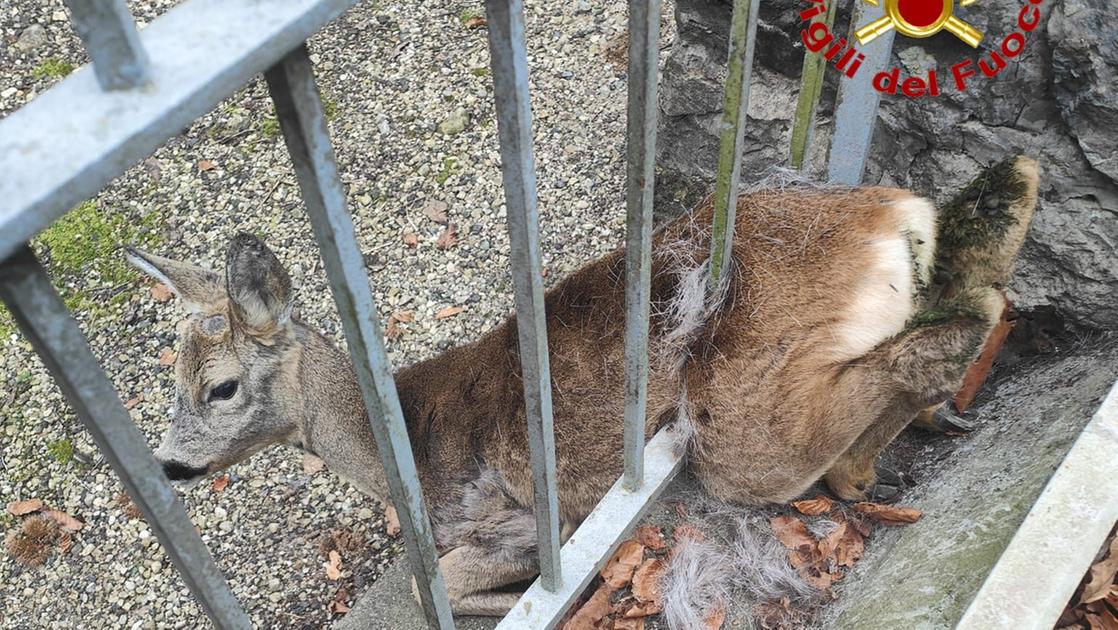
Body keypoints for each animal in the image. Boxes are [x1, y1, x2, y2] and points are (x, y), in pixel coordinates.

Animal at [122, 156, 1037, 616]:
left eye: (220, 388)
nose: (168, 465)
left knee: (939, 338)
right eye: (170, 380)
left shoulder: (519, 515)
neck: (401, 450)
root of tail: (890, 216)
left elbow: (441, 584)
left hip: (738, 423)